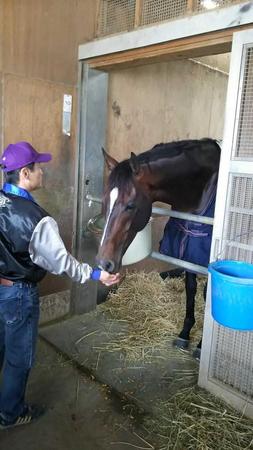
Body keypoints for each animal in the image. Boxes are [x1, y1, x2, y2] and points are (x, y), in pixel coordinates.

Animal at [97, 139, 219, 354]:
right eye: (104, 201)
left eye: (130, 205)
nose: (104, 263)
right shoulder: (187, 254)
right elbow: (190, 289)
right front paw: (184, 333)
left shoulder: (205, 260)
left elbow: (207, 295)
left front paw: (201, 346)